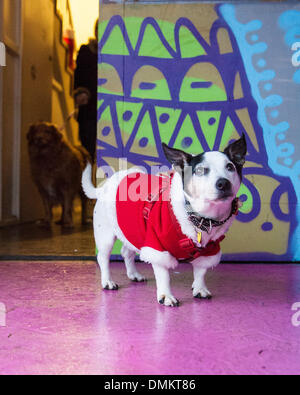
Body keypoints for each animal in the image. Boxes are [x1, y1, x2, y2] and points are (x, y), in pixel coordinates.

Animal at [82, 135, 246, 306]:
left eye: (230, 167)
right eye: (200, 171)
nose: (223, 183)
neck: (202, 219)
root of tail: (105, 186)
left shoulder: (209, 250)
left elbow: (201, 271)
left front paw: (200, 288)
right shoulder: (157, 247)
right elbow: (163, 276)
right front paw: (166, 295)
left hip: (131, 231)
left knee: (127, 253)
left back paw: (134, 274)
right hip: (106, 237)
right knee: (103, 258)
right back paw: (107, 281)